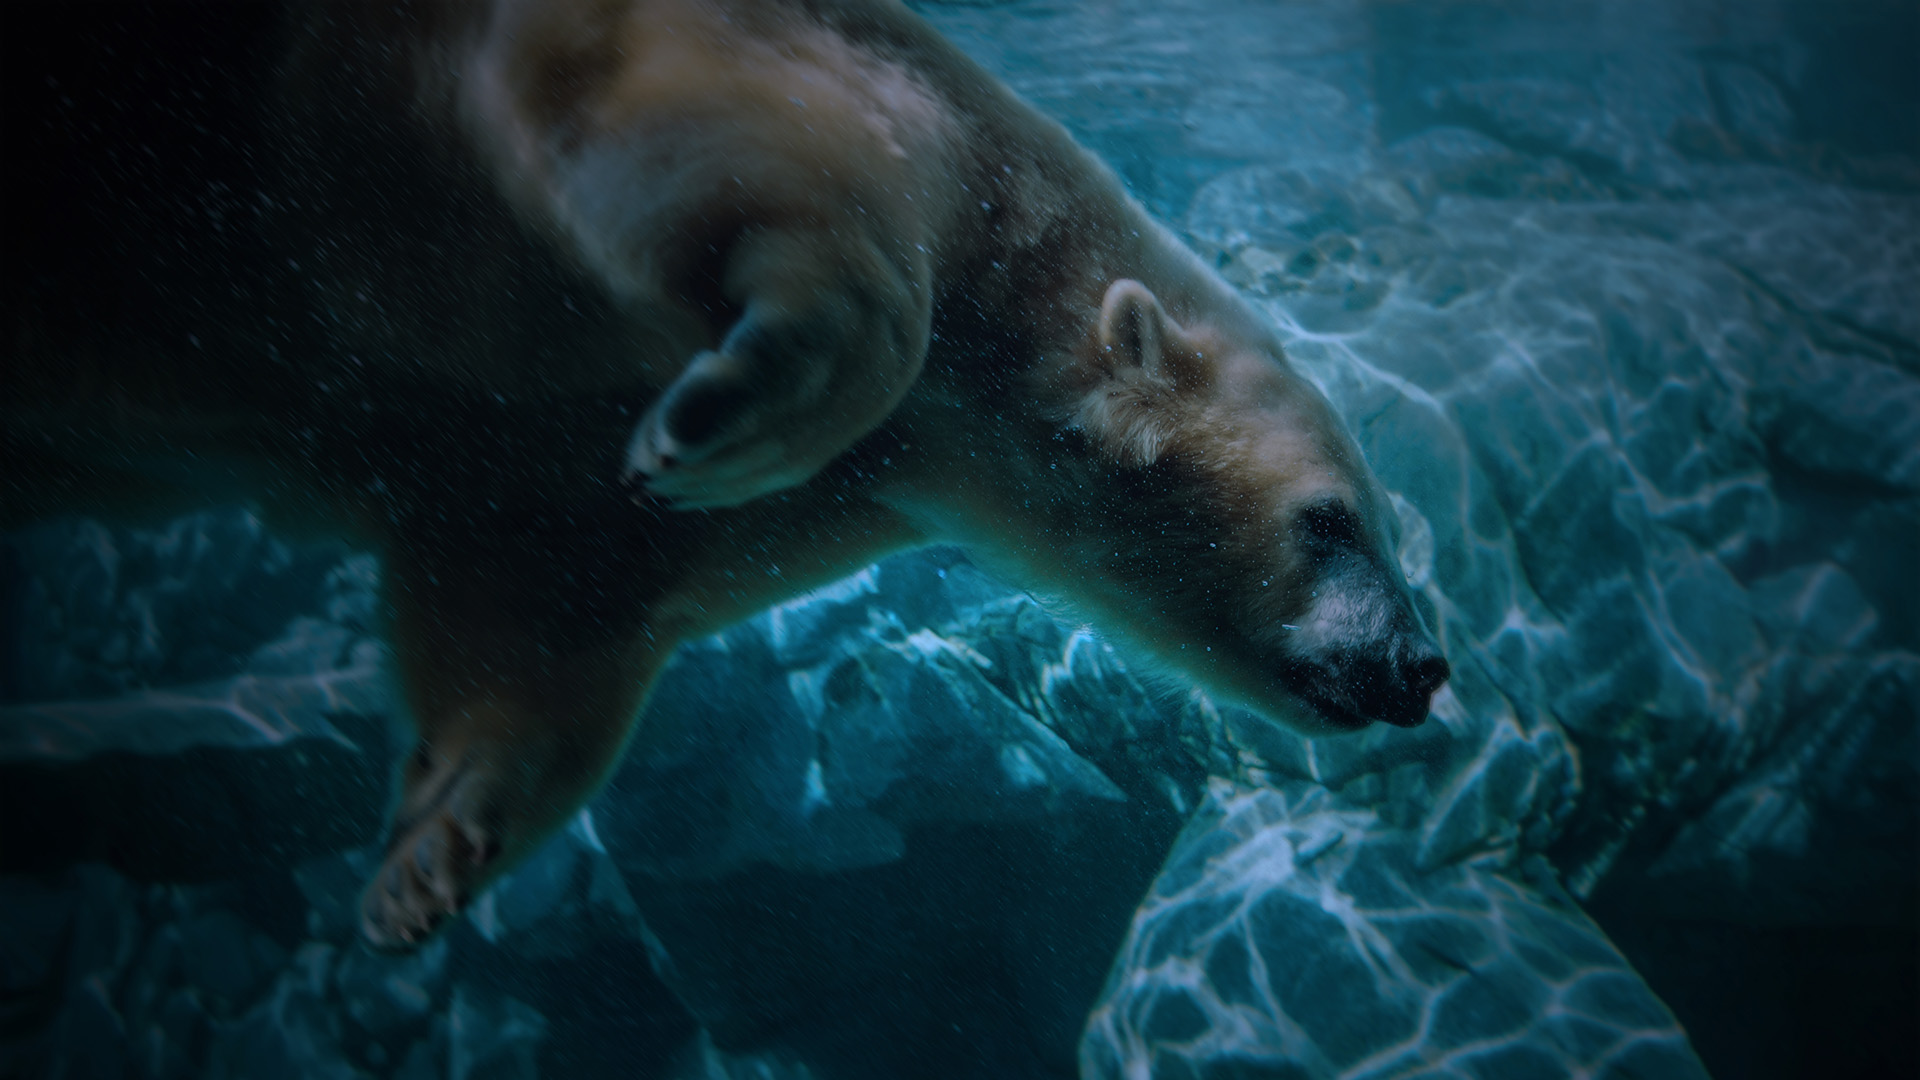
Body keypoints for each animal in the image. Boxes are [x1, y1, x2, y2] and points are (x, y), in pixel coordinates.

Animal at [4, 0, 1449, 950]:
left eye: (1383, 525)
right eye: (1332, 520)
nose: (1422, 666)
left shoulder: (759, 486)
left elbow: (546, 594)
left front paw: (433, 851)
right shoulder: (823, 88)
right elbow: (713, 149)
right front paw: (720, 417)